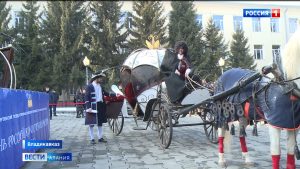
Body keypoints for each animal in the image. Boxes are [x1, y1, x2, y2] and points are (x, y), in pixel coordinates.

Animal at [217, 27, 300, 168]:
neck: (286, 85)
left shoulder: (293, 124)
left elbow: (290, 153)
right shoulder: (274, 124)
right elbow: (276, 152)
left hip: (243, 116)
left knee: (241, 135)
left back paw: (247, 159)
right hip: (223, 115)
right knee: (221, 135)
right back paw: (221, 160)